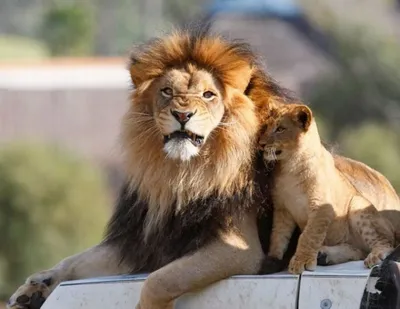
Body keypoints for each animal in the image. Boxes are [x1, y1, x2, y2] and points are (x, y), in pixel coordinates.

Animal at [6, 26, 300, 308]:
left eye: (208, 95)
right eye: (167, 91)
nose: (182, 114)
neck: (178, 175)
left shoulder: (239, 247)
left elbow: (161, 279)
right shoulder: (141, 239)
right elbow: (75, 260)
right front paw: (34, 287)